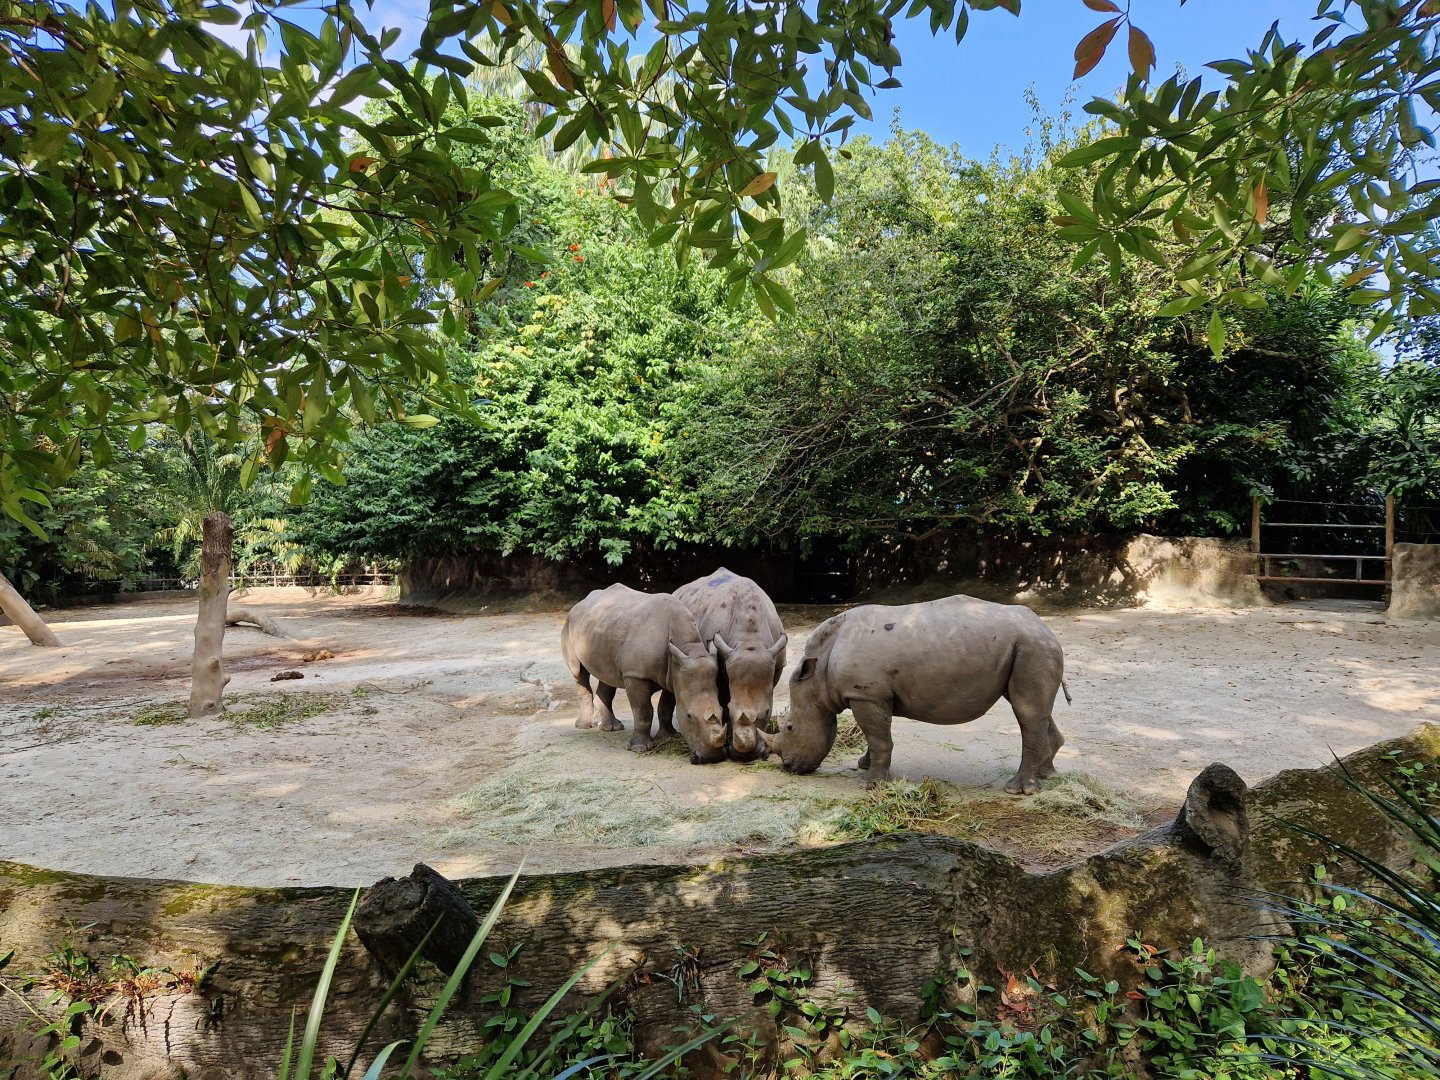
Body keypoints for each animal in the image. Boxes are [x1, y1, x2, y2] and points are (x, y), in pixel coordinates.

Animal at [560, 583, 727, 764]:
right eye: (689, 716)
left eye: (721, 710)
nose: (712, 758)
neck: (689, 648)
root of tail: (581, 602)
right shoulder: (636, 675)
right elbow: (643, 711)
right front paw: (638, 748)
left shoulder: (674, 675)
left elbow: (665, 707)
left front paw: (668, 737)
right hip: (569, 624)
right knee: (578, 671)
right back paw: (584, 726)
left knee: (607, 674)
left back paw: (611, 728)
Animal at [769, 595, 1070, 794]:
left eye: (790, 727)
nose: (788, 766)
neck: (818, 676)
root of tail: (1046, 628)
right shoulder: (869, 696)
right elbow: (873, 737)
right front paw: (864, 765)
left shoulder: (866, 695)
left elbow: (878, 739)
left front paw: (868, 783)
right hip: (1030, 646)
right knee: (1034, 710)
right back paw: (1047, 775)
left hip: (1032, 647)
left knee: (1026, 712)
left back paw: (1018, 790)